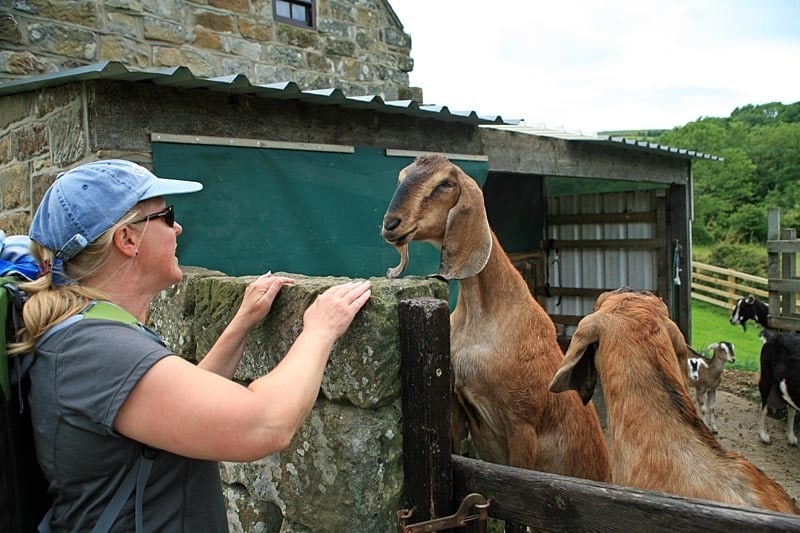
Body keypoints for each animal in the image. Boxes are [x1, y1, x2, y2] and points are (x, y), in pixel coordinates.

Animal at [378, 154, 608, 482]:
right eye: (402, 177)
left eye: (445, 183)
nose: (390, 224)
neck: (487, 316)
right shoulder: (456, 405)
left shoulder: (522, 424)